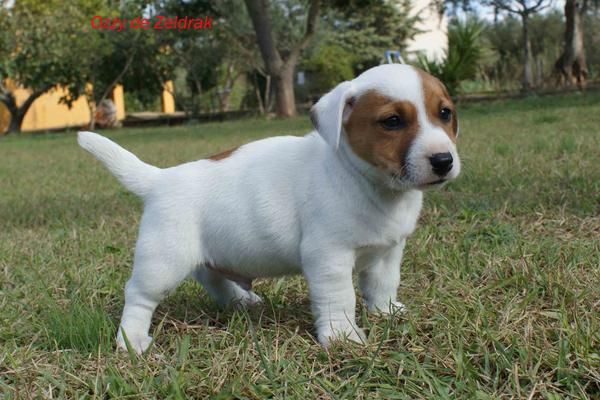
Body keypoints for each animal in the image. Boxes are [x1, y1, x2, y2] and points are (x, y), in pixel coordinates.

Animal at [77, 63, 462, 354]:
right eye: (392, 121)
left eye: (445, 113)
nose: (443, 160)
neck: (368, 182)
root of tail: (160, 179)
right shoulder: (329, 257)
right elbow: (339, 298)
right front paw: (342, 336)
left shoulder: (388, 252)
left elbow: (383, 284)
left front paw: (386, 312)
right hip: (163, 261)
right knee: (139, 296)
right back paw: (132, 340)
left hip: (206, 253)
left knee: (210, 276)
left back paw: (239, 300)